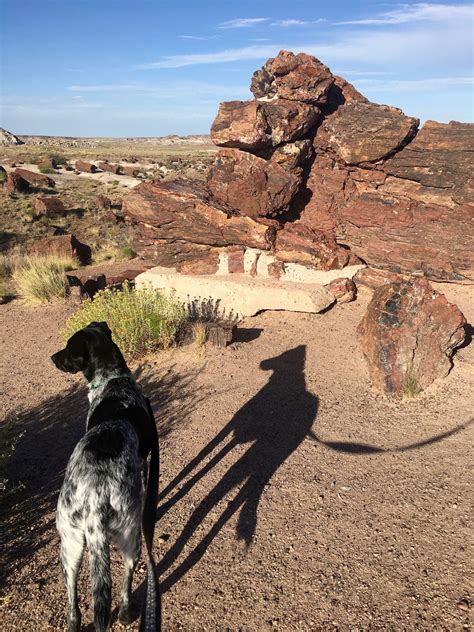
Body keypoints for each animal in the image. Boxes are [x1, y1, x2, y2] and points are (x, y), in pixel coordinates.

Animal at [51, 324, 160, 628]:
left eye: (68, 349)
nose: (52, 357)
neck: (113, 380)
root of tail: (94, 497)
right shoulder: (145, 464)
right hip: (131, 537)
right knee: (126, 581)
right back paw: (125, 614)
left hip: (70, 545)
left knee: (73, 599)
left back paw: (75, 622)